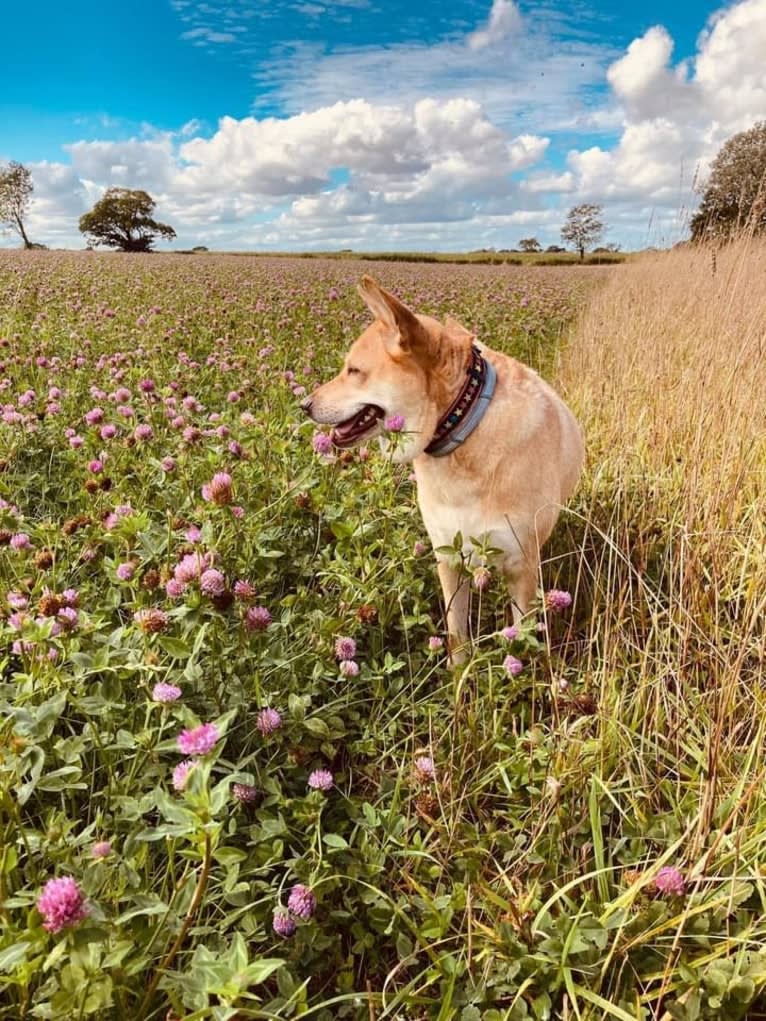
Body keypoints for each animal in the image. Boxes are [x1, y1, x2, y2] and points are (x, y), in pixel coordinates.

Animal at [302, 275, 584, 665]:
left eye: (354, 371)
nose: (304, 405)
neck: (461, 424)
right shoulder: (449, 557)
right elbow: (457, 633)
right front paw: (459, 676)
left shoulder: (521, 567)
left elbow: (519, 638)